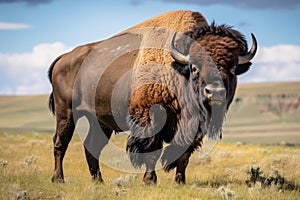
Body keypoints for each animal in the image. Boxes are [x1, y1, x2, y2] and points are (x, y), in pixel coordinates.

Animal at [48, 10, 256, 184]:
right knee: (60, 143)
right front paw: (150, 180)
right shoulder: (150, 115)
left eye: (232, 69)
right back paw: (59, 179)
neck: (176, 68)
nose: (214, 92)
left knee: (92, 146)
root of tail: (64, 58)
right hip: (66, 113)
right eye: (194, 67)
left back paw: (99, 181)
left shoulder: (192, 128)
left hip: (99, 120)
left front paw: (180, 182)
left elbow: (184, 155)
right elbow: (152, 149)